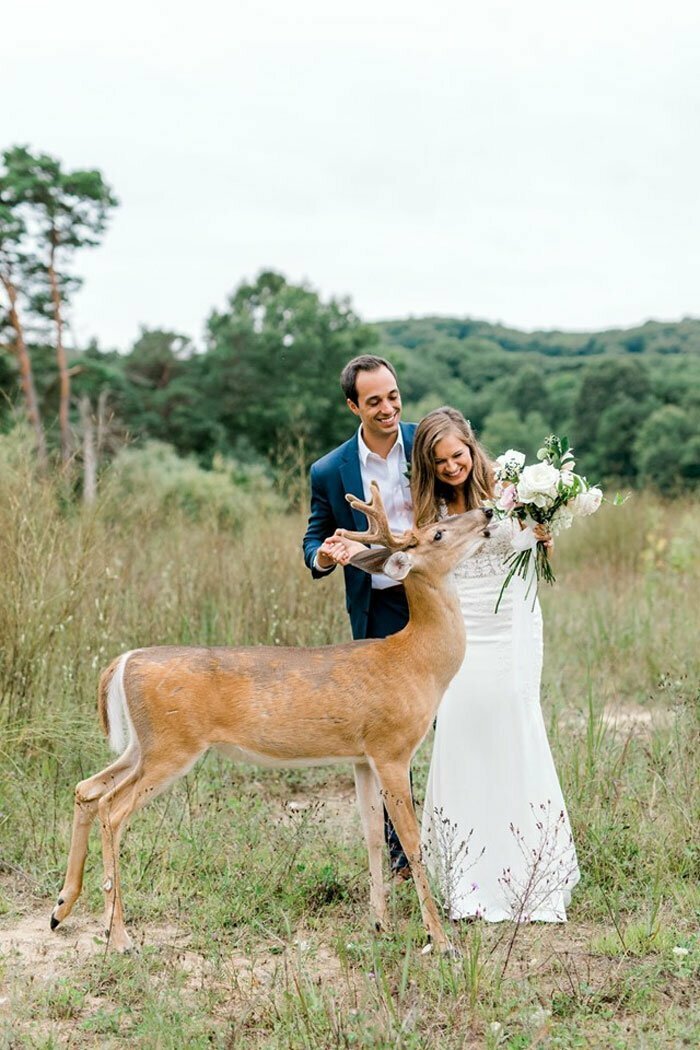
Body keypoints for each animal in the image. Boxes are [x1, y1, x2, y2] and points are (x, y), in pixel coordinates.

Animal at [50, 487, 493, 957]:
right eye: (438, 532)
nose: (487, 512)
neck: (416, 662)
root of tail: (124, 661)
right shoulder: (392, 746)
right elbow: (411, 842)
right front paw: (441, 940)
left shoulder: (362, 755)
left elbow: (372, 834)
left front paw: (381, 925)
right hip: (172, 746)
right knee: (112, 810)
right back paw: (118, 936)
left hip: (143, 744)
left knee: (87, 789)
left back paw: (61, 909)